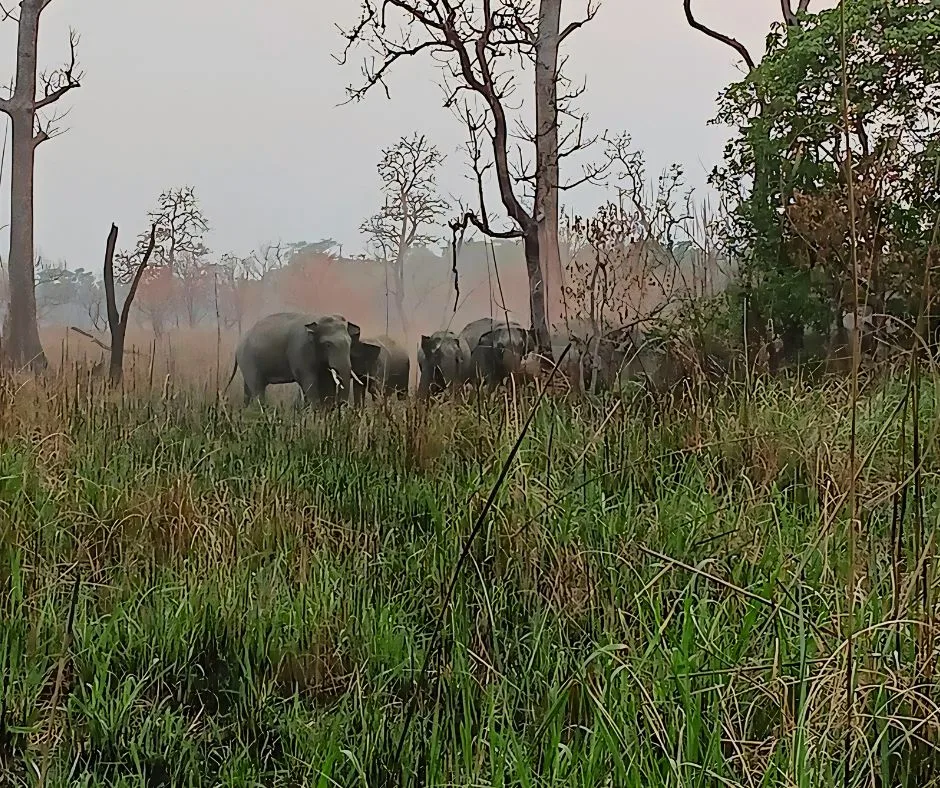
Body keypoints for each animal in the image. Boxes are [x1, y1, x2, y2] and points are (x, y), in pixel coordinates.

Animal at [225, 312, 380, 406]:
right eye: (328, 345)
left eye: (349, 343)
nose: (342, 404)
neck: (318, 320)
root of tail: (238, 345)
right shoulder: (300, 351)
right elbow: (309, 382)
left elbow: (327, 382)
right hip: (249, 360)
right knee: (257, 388)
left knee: (248, 390)